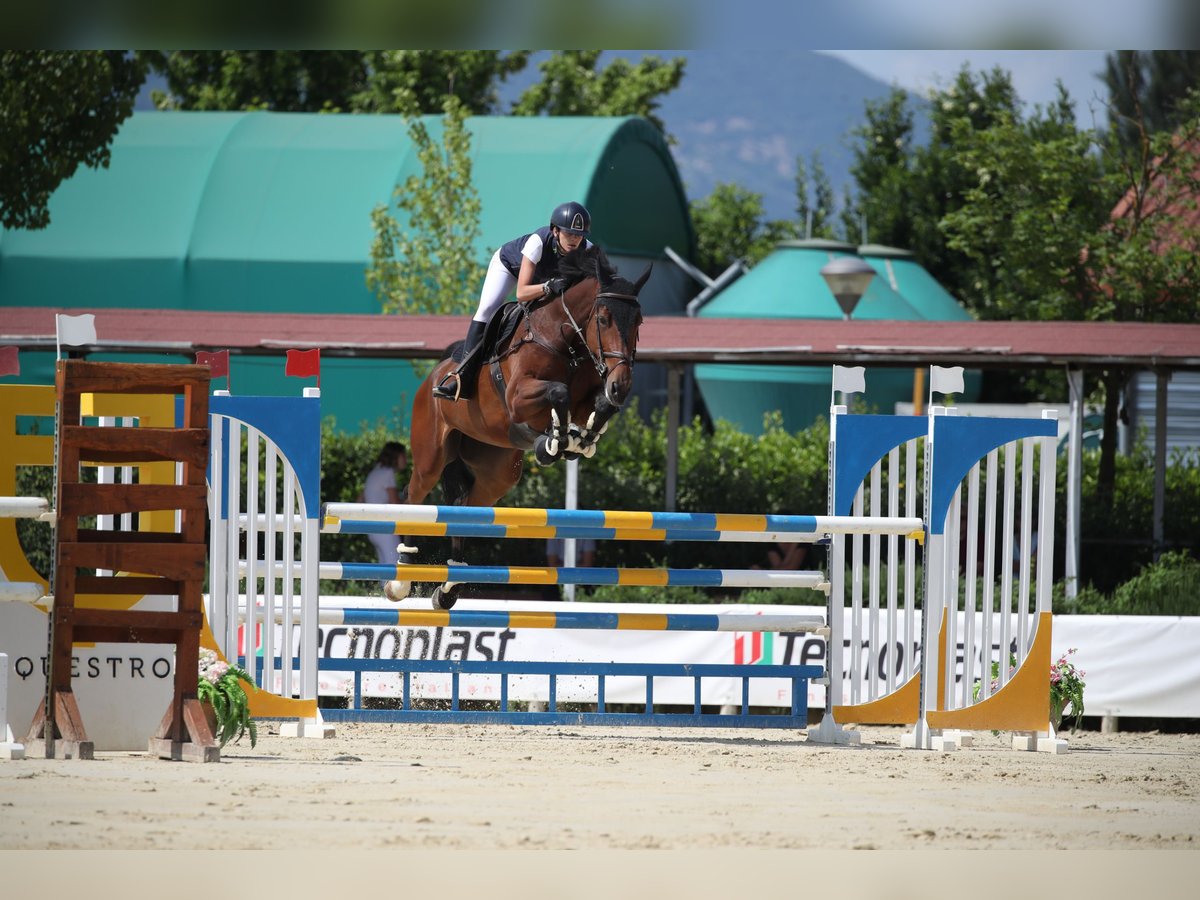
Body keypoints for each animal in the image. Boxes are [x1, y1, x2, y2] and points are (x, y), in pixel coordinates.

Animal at [398, 247, 652, 609]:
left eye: (639, 322)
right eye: (603, 319)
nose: (622, 385)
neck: (567, 341)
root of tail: (433, 377)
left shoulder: (587, 398)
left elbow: (600, 406)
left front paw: (579, 440)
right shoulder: (519, 398)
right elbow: (558, 393)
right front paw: (554, 443)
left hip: (497, 474)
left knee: (463, 507)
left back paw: (449, 587)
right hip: (431, 456)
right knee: (412, 497)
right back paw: (401, 575)